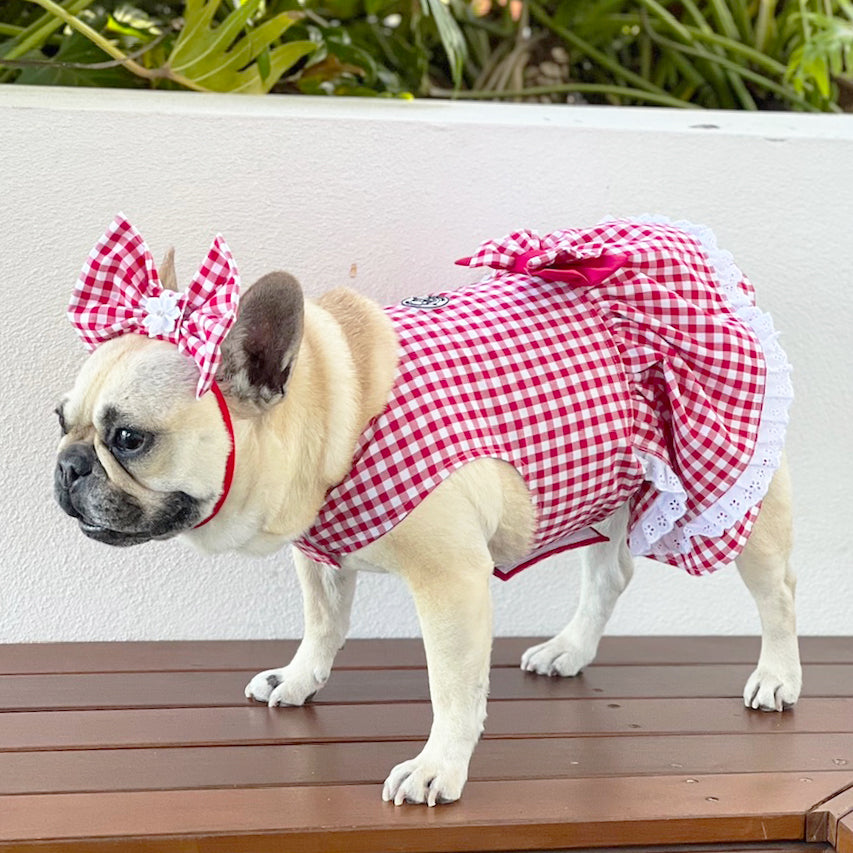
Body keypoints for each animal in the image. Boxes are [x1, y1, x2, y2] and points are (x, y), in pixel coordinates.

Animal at [56, 258, 804, 804]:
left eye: (128, 438)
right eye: (60, 419)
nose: (67, 465)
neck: (341, 408)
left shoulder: (451, 584)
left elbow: (452, 686)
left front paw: (438, 767)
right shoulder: (320, 560)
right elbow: (322, 625)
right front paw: (299, 680)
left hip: (742, 493)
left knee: (777, 595)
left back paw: (776, 677)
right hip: (611, 484)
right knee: (609, 573)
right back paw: (569, 649)